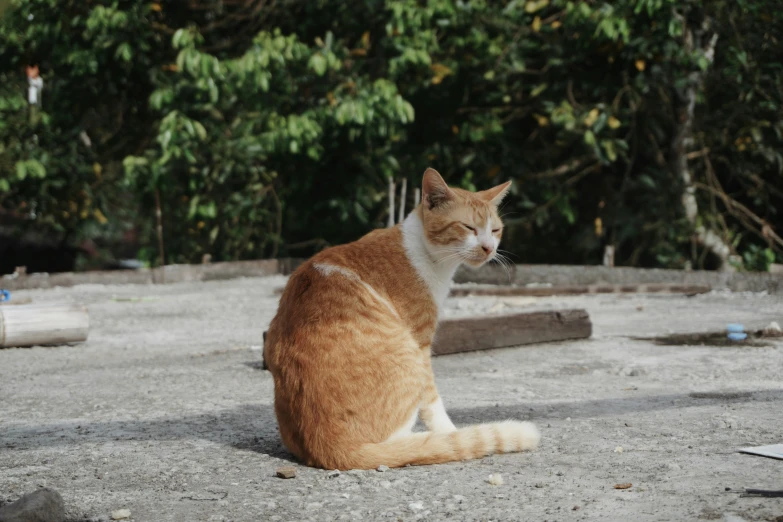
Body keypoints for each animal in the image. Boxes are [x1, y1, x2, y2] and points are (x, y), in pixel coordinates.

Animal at [264, 169, 540, 470]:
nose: (489, 248)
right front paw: (449, 433)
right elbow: (433, 402)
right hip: (408, 358)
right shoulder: (421, 343)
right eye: (468, 227)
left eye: (495, 230)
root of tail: (329, 445)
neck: (426, 254)